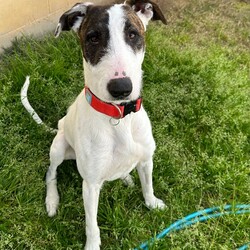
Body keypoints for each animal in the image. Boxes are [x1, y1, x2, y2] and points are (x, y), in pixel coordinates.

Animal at [22, 0, 166, 249]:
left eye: (133, 34)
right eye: (93, 38)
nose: (121, 88)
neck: (119, 118)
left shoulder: (146, 160)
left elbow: (148, 186)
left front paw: (152, 203)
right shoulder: (89, 185)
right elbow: (92, 224)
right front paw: (92, 244)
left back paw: (126, 177)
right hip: (58, 147)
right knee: (51, 173)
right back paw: (52, 200)